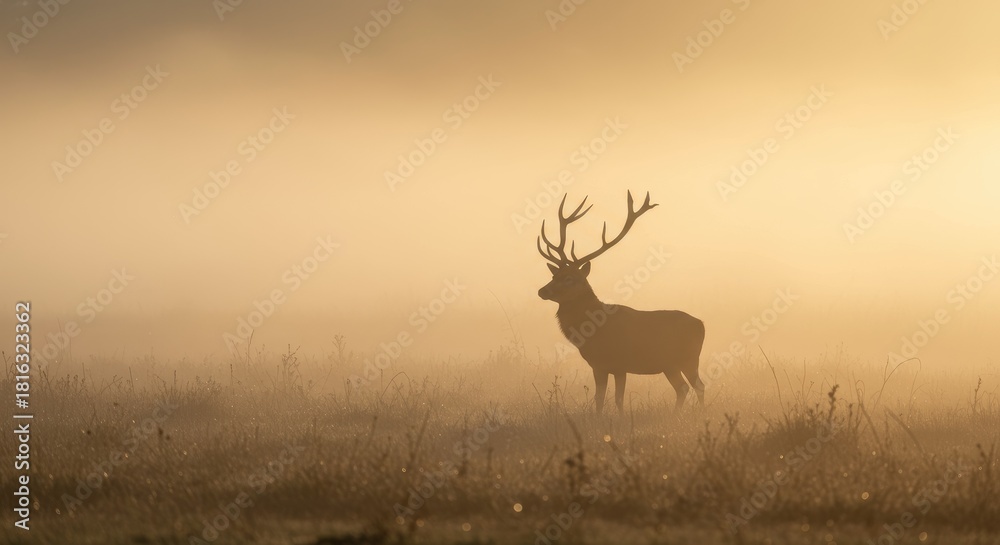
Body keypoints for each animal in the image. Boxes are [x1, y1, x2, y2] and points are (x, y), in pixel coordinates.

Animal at [537, 191, 705, 414]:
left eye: (569, 278)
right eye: (554, 275)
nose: (541, 291)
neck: (594, 332)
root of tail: (702, 325)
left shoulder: (619, 364)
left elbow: (617, 399)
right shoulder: (599, 365)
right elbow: (600, 398)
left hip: (688, 358)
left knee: (698, 386)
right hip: (670, 364)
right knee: (683, 388)